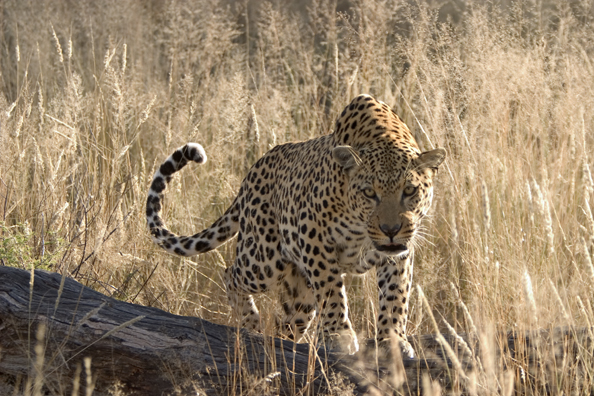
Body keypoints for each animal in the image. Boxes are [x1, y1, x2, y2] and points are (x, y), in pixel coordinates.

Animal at [146, 94, 442, 358]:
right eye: (369, 193)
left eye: (409, 190)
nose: (390, 230)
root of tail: (250, 174)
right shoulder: (313, 236)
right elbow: (331, 290)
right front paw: (339, 336)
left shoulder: (400, 251)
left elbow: (396, 294)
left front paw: (394, 341)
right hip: (263, 259)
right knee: (230, 274)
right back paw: (251, 325)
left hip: (298, 292)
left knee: (287, 323)